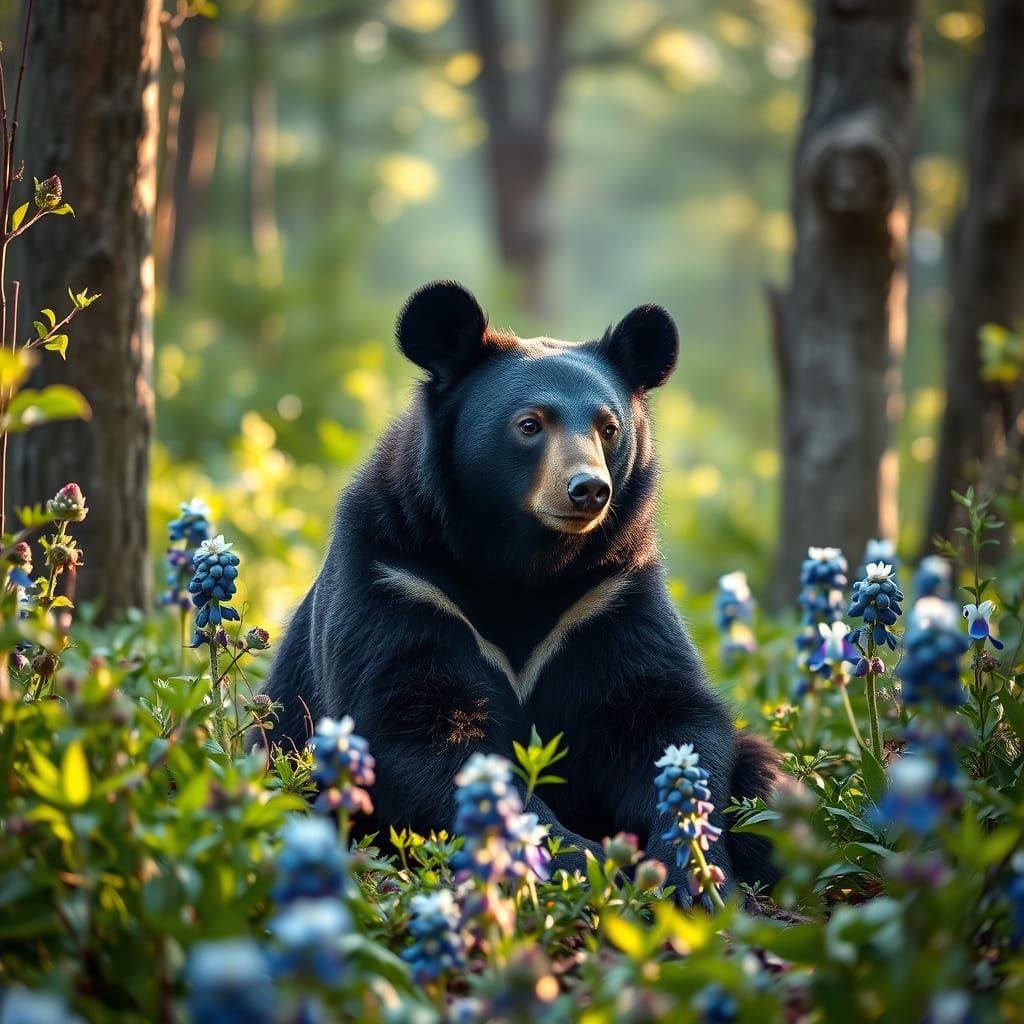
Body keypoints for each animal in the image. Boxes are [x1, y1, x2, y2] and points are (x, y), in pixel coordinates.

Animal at [264, 280, 780, 901]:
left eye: (608, 428)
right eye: (530, 424)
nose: (589, 490)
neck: (524, 563)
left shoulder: (609, 594)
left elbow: (663, 713)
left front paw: (692, 876)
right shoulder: (396, 579)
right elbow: (413, 726)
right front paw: (580, 860)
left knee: (763, 777)